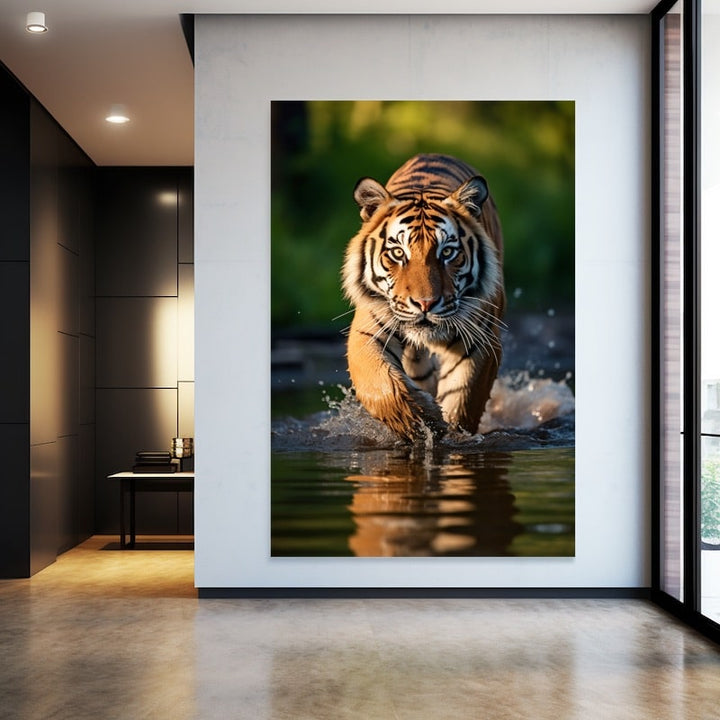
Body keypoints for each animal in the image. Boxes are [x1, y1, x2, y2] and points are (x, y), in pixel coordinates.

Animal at [341, 153, 505, 443]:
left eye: (448, 252)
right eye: (397, 253)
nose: (425, 304)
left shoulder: (480, 340)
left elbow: (462, 400)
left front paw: (449, 432)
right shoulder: (367, 331)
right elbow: (381, 385)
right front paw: (422, 419)